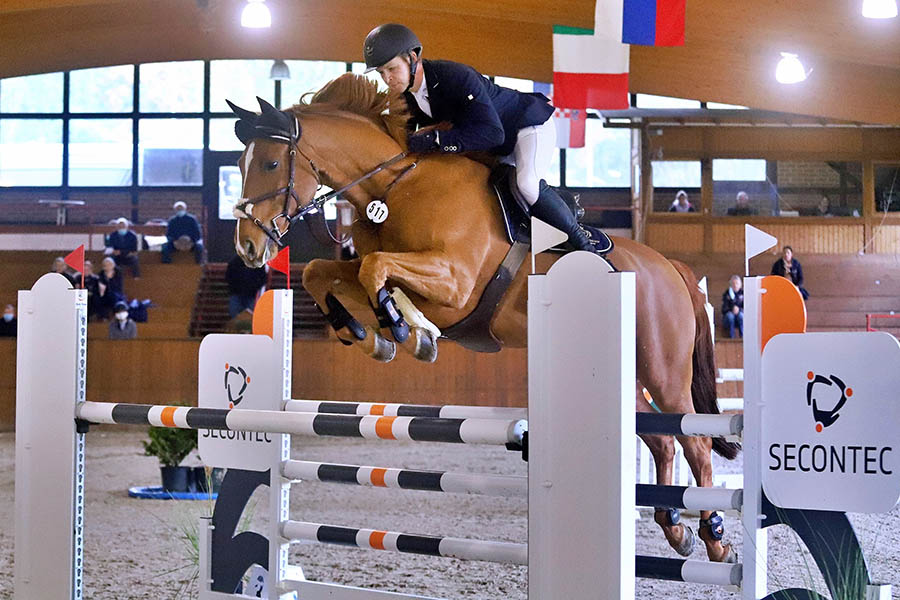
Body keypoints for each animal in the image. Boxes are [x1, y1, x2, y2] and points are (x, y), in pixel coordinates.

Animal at [225, 74, 740, 564]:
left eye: (270, 164)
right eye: (240, 166)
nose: (248, 247)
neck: (397, 185)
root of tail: (671, 268)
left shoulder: (453, 285)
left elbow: (376, 270)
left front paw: (406, 331)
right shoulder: (386, 273)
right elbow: (324, 271)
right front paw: (370, 334)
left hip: (663, 368)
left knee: (694, 443)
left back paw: (714, 540)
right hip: (626, 376)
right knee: (661, 441)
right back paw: (675, 528)